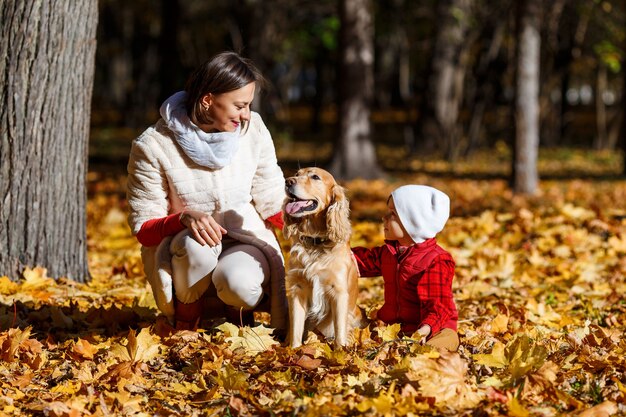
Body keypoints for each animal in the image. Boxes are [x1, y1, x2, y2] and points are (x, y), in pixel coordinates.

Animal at [282, 167, 364, 346]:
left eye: (315, 177)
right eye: (297, 174)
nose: (288, 181)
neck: (315, 242)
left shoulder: (338, 291)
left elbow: (339, 328)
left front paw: (340, 351)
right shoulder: (297, 288)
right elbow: (296, 328)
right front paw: (293, 349)